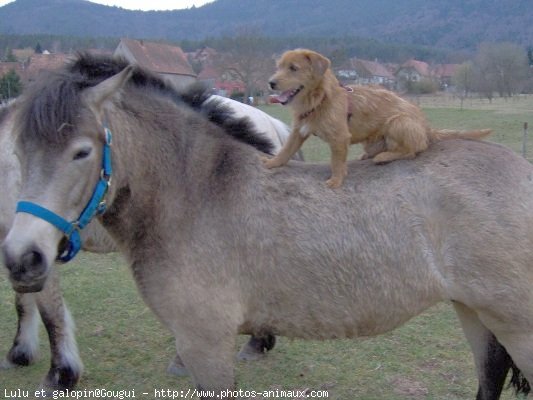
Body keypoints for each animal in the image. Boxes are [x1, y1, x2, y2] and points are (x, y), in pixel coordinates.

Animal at [0, 92, 296, 390]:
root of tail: (268, 120)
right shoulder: (20, 253)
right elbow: (23, 302)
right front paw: (21, 353)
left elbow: (50, 313)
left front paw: (60, 374)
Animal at [262, 48, 490, 188]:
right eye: (279, 66)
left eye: (293, 68)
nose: (271, 82)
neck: (320, 99)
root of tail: (427, 129)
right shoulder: (299, 131)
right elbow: (286, 150)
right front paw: (272, 163)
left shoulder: (339, 138)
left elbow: (336, 162)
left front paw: (336, 180)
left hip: (398, 122)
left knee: (413, 150)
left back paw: (384, 156)